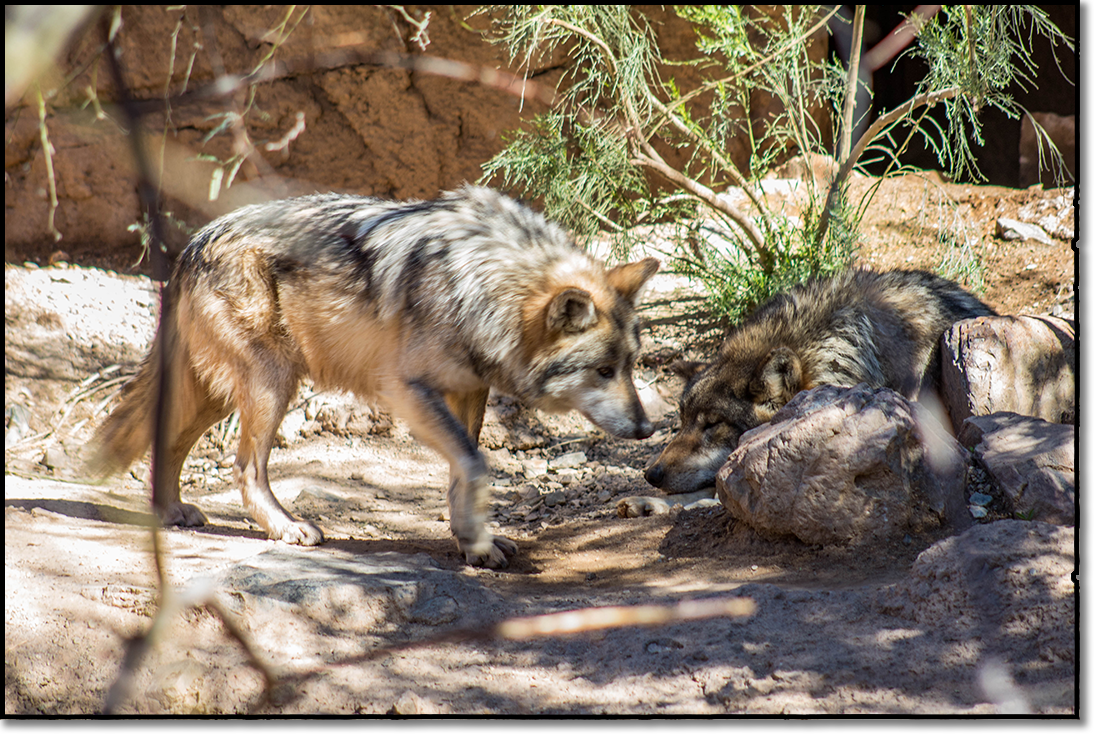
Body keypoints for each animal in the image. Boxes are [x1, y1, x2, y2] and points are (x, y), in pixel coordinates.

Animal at [90, 186, 659, 568]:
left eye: (631, 366)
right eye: (603, 370)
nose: (646, 429)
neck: (482, 283)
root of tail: (192, 244)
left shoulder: (470, 389)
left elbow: (463, 471)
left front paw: (471, 540)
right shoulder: (407, 390)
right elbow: (475, 466)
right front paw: (476, 545)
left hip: (224, 394)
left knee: (168, 440)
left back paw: (170, 512)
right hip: (271, 385)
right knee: (246, 469)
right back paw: (285, 527)